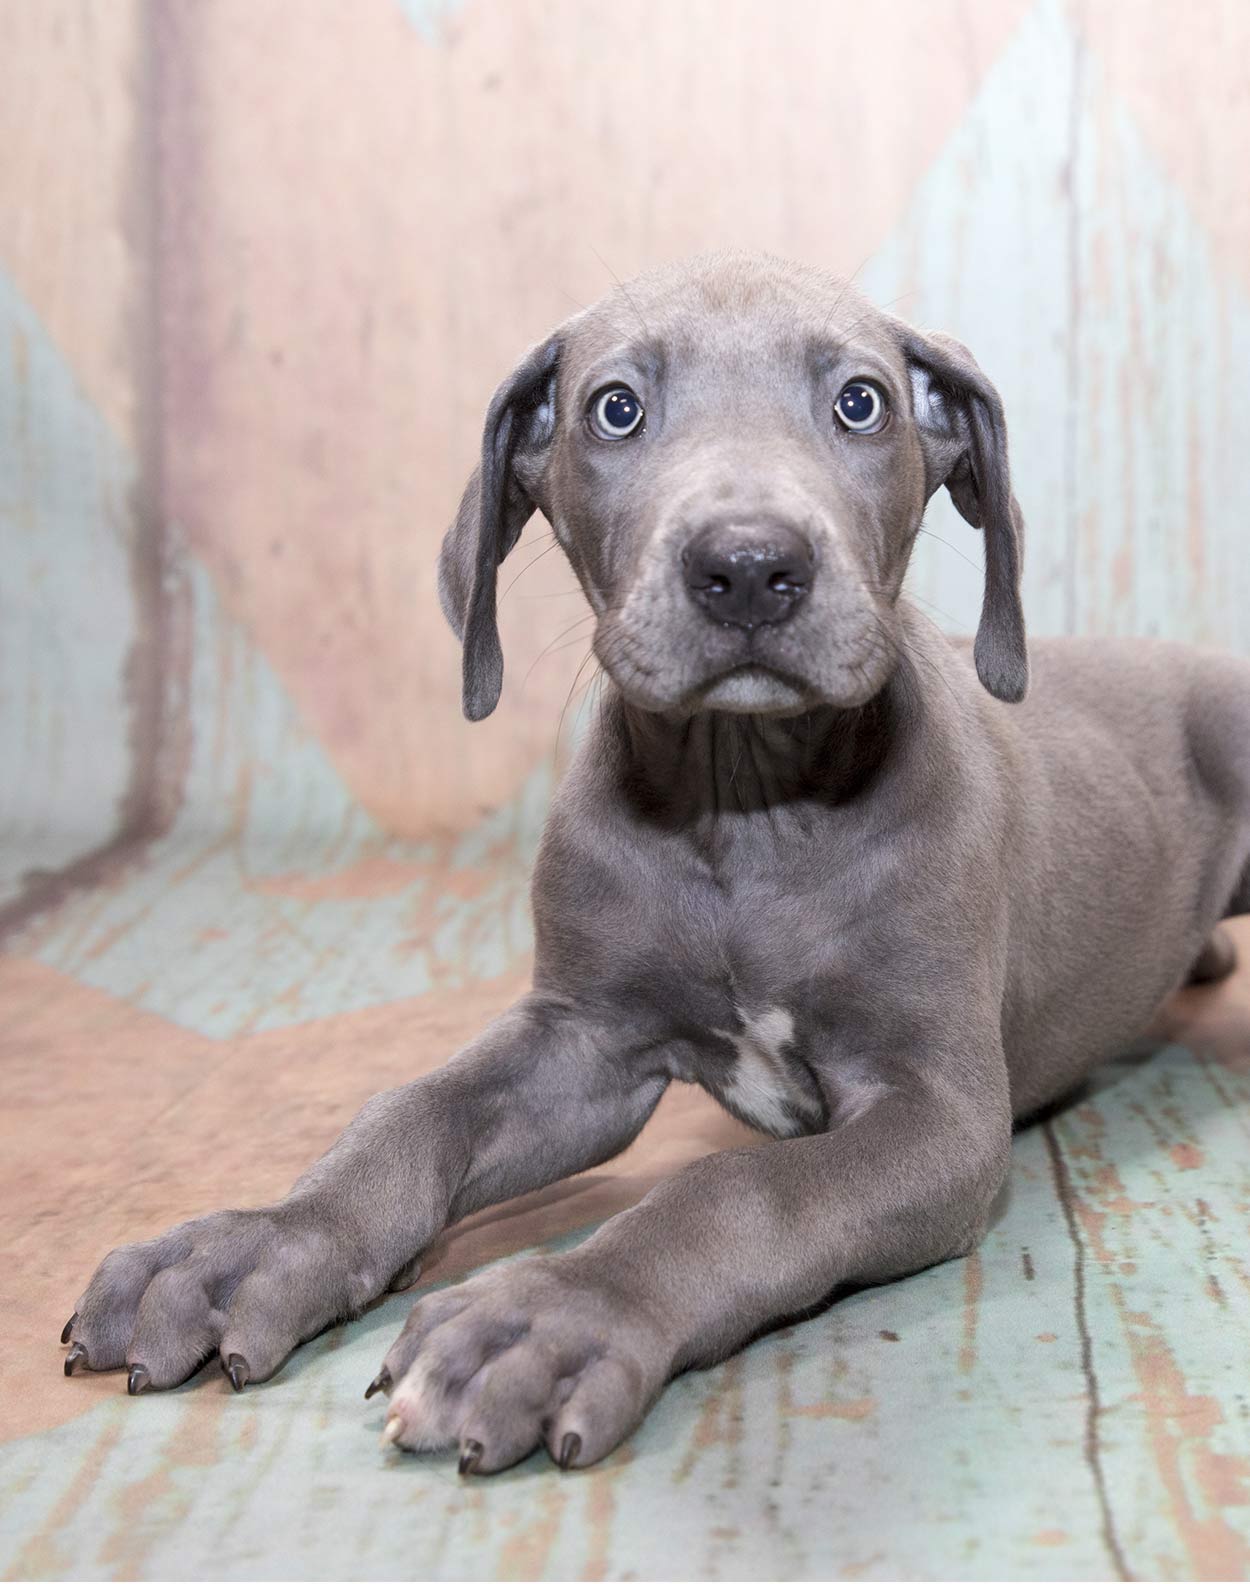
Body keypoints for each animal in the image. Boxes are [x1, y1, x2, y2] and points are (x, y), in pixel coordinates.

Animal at [60, 253, 1248, 1476]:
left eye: (860, 402)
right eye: (615, 409)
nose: (748, 565)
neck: (746, 806)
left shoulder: (940, 1113)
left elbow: (740, 1191)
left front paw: (555, 1311)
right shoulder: (583, 1042)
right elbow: (411, 1114)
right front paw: (255, 1245)